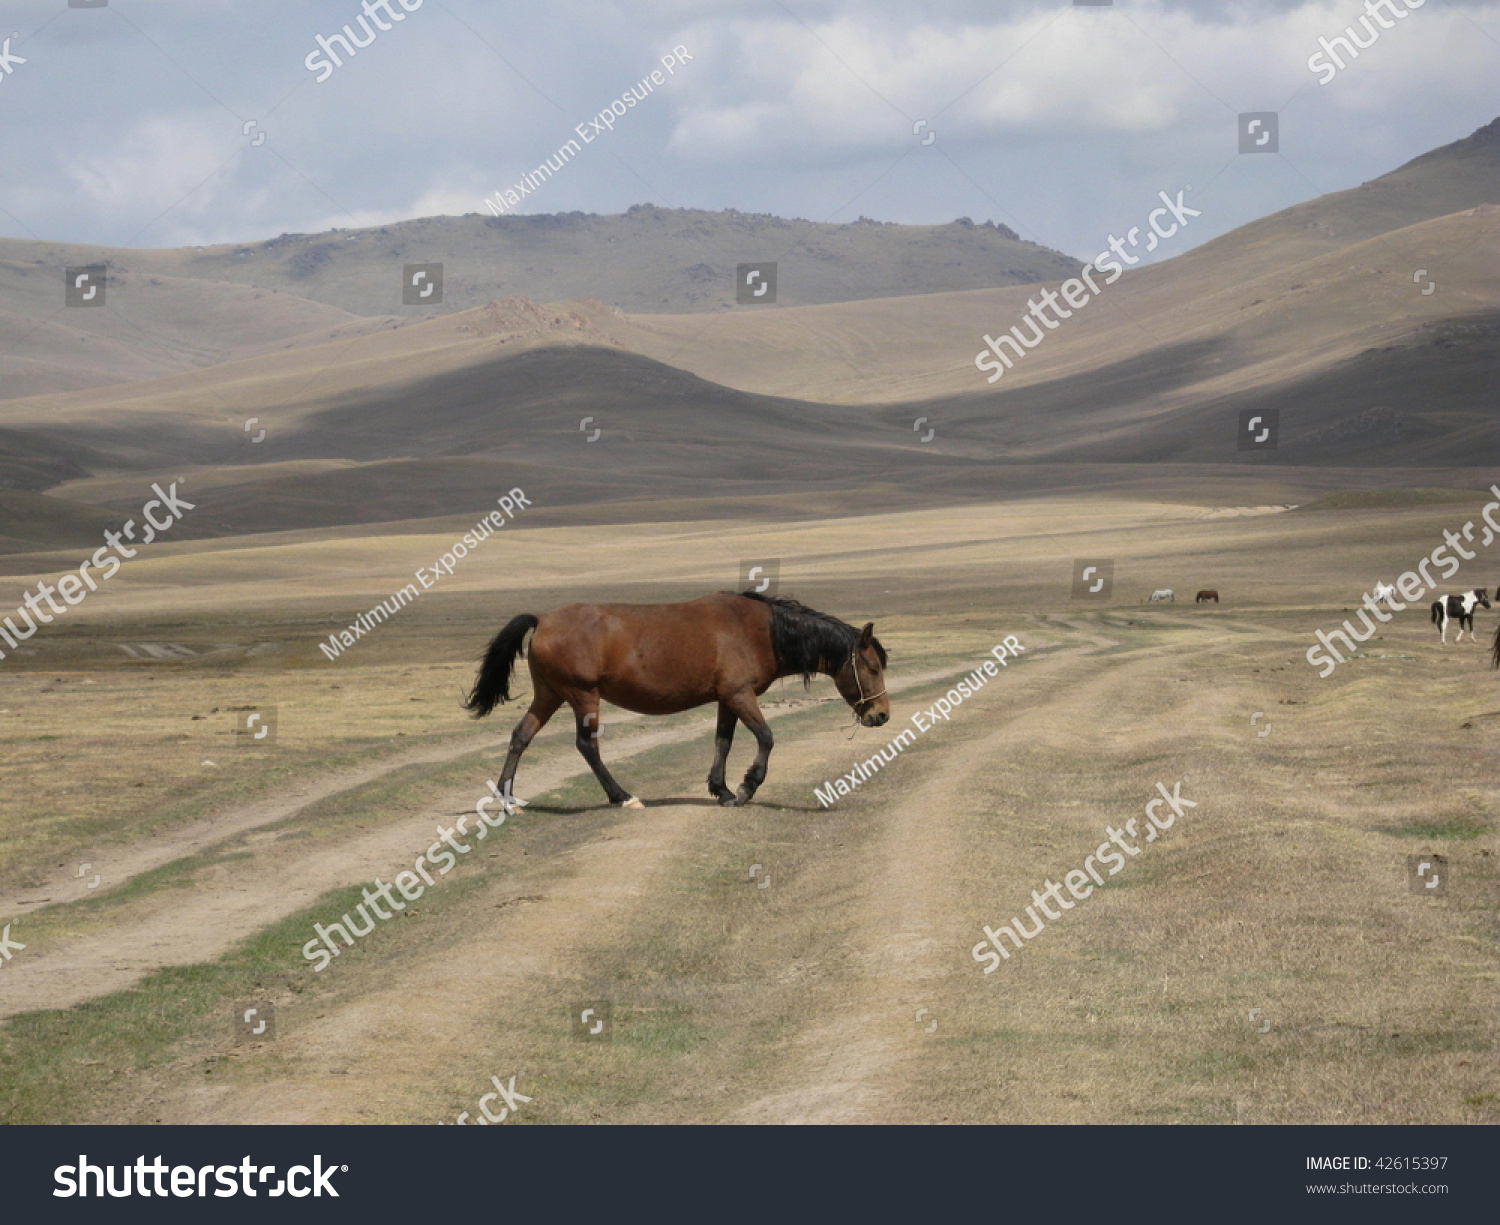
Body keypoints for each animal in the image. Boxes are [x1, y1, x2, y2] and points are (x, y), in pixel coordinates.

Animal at [465, 593, 888, 809]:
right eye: (871, 666)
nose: (881, 715)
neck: (762, 631)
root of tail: (543, 618)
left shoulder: (726, 699)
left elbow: (723, 742)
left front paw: (721, 790)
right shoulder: (740, 695)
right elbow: (766, 738)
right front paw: (747, 787)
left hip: (550, 695)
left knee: (521, 736)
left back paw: (507, 798)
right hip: (582, 695)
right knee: (587, 746)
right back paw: (622, 797)